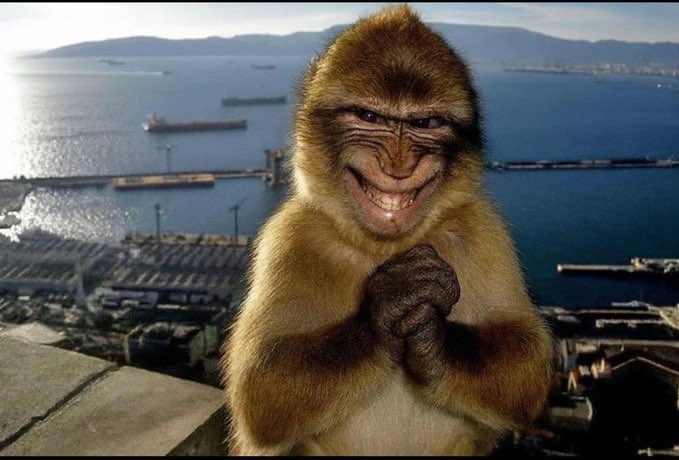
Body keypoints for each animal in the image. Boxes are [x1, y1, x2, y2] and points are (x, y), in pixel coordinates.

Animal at [221, 4, 553, 456]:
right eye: (369, 117)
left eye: (426, 122)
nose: (399, 164)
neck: (385, 247)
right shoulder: (289, 238)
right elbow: (261, 386)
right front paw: (388, 309)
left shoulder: (484, 230)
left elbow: (526, 360)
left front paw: (434, 341)